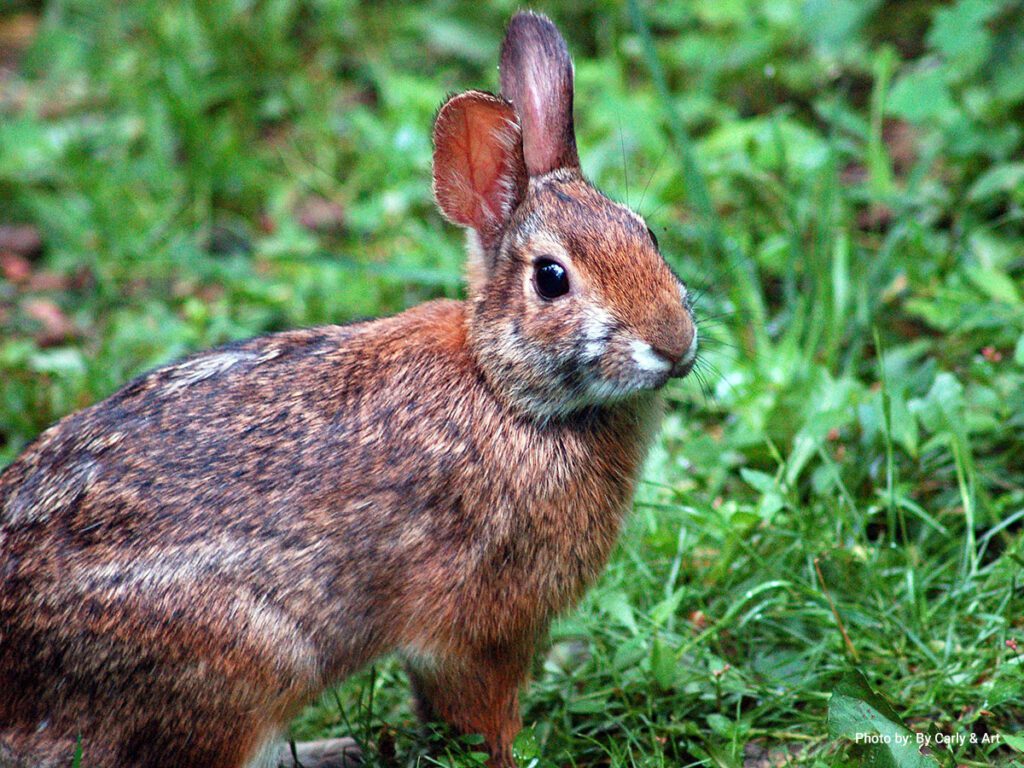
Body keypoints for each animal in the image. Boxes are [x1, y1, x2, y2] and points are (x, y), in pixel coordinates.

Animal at [0, 10, 696, 768]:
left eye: (646, 233)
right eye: (551, 278)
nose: (675, 344)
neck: (506, 393)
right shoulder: (474, 628)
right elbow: (483, 715)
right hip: (245, 662)